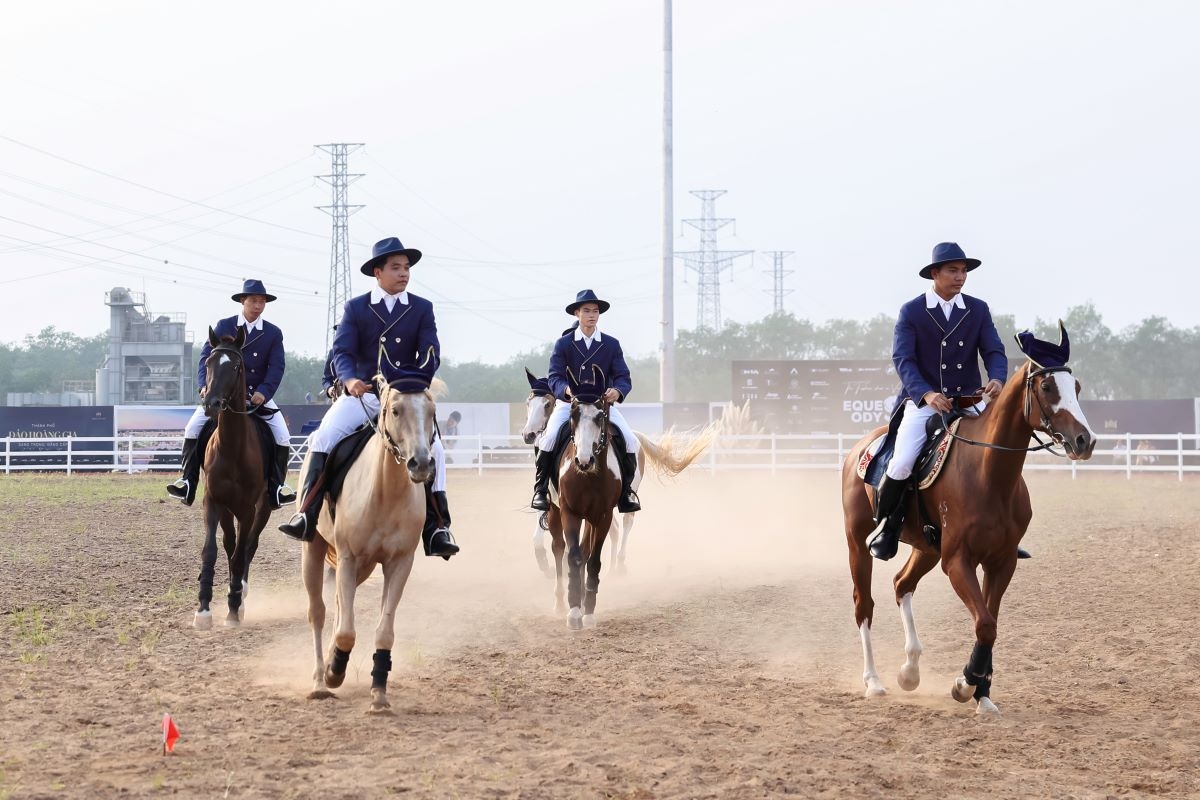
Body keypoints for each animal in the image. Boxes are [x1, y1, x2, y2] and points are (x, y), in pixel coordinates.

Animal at [192, 328, 272, 628]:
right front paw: (203, 609)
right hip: (228, 510)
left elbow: (241, 554)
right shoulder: (213, 502)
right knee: (230, 544)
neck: (232, 447)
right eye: (208, 363)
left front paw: (234, 609)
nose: (211, 404)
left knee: (248, 546)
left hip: (262, 509)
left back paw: (240, 594)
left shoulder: (248, 509)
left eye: (237, 366)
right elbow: (211, 550)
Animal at [300, 374, 441, 714]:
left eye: (431, 411)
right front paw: (335, 671)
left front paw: (378, 691)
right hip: (313, 551)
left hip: (361, 568)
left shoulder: (399, 563)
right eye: (396, 410)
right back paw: (320, 680)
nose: (421, 464)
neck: (386, 491)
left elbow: (384, 631)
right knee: (318, 612)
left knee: (339, 607)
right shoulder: (348, 557)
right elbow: (346, 632)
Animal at [844, 326, 1099, 719]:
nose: (1085, 440)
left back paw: (910, 671)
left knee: (902, 584)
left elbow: (990, 624)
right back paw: (874, 681)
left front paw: (982, 693)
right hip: (859, 543)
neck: (989, 475)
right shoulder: (958, 561)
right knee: (864, 604)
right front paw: (965, 684)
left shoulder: (1001, 562)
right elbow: (985, 623)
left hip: (927, 549)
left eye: (1077, 387)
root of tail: (860, 447)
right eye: (1046, 387)